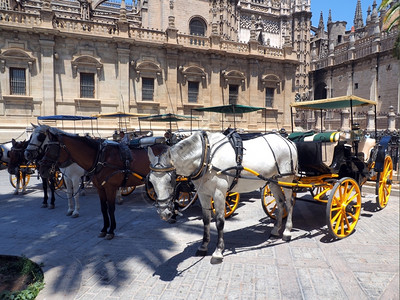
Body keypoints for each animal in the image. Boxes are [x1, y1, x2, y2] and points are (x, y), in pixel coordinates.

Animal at [32, 126, 168, 239]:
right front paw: (104, 229)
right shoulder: (100, 188)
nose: (42, 169)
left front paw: (111, 231)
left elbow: (111, 208)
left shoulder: (110, 187)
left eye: (50, 148)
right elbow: (103, 208)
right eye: (46, 147)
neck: (100, 158)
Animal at [148, 130, 298, 262]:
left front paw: (218, 251)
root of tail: (288, 141)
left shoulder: (219, 193)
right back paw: (275, 230)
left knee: (289, 202)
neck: (207, 157)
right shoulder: (203, 193)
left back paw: (287, 232)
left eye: (171, 180)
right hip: (273, 181)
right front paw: (203, 246)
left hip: (286, 179)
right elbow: (206, 220)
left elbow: (220, 221)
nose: (164, 213)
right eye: (151, 181)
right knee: (280, 203)